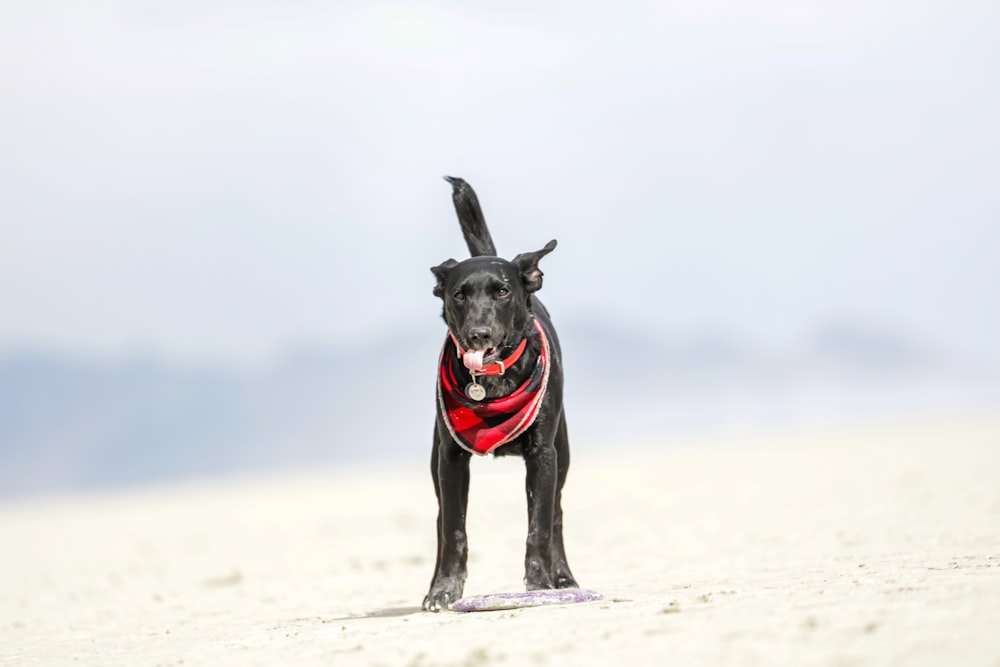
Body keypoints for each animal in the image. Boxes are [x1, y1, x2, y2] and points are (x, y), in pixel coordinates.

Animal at [424, 176, 580, 612]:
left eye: (502, 292)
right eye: (459, 295)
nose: (479, 334)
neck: (493, 380)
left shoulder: (543, 455)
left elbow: (539, 526)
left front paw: (540, 584)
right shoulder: (449, 458)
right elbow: (453, 530)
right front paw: (443, 590)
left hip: (561, 454)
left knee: (555, 514)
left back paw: (564, 576)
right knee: (440, 519)